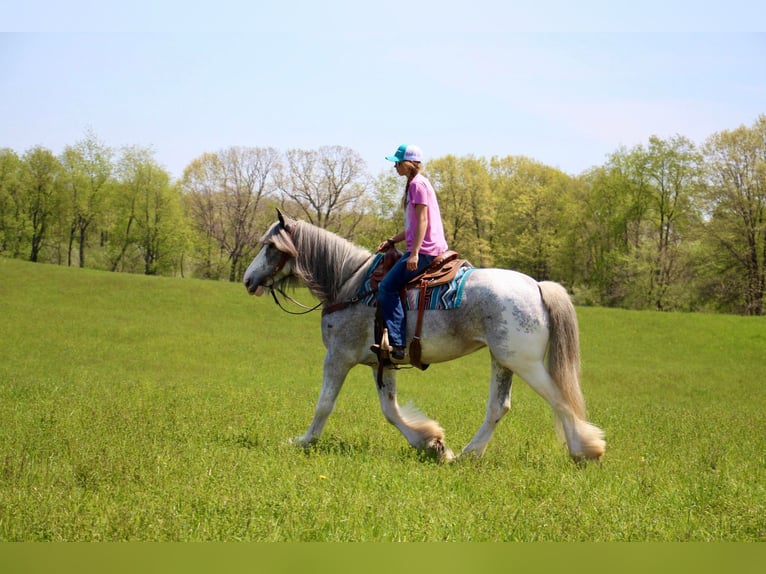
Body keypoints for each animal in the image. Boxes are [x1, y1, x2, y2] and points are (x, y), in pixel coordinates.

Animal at [246, 210, 608, 464]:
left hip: (525, 363)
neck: (350, 284)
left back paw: (585, 450)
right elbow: (390, 410)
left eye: (269, 246)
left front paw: (303, 441)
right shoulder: (382, 361)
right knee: (498, 407)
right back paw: (467, 455)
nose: (248, 280)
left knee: (560, 398)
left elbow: (324, 404)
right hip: (503, 360)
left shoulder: (338, 357)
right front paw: (431, 444)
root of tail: (537, 286)